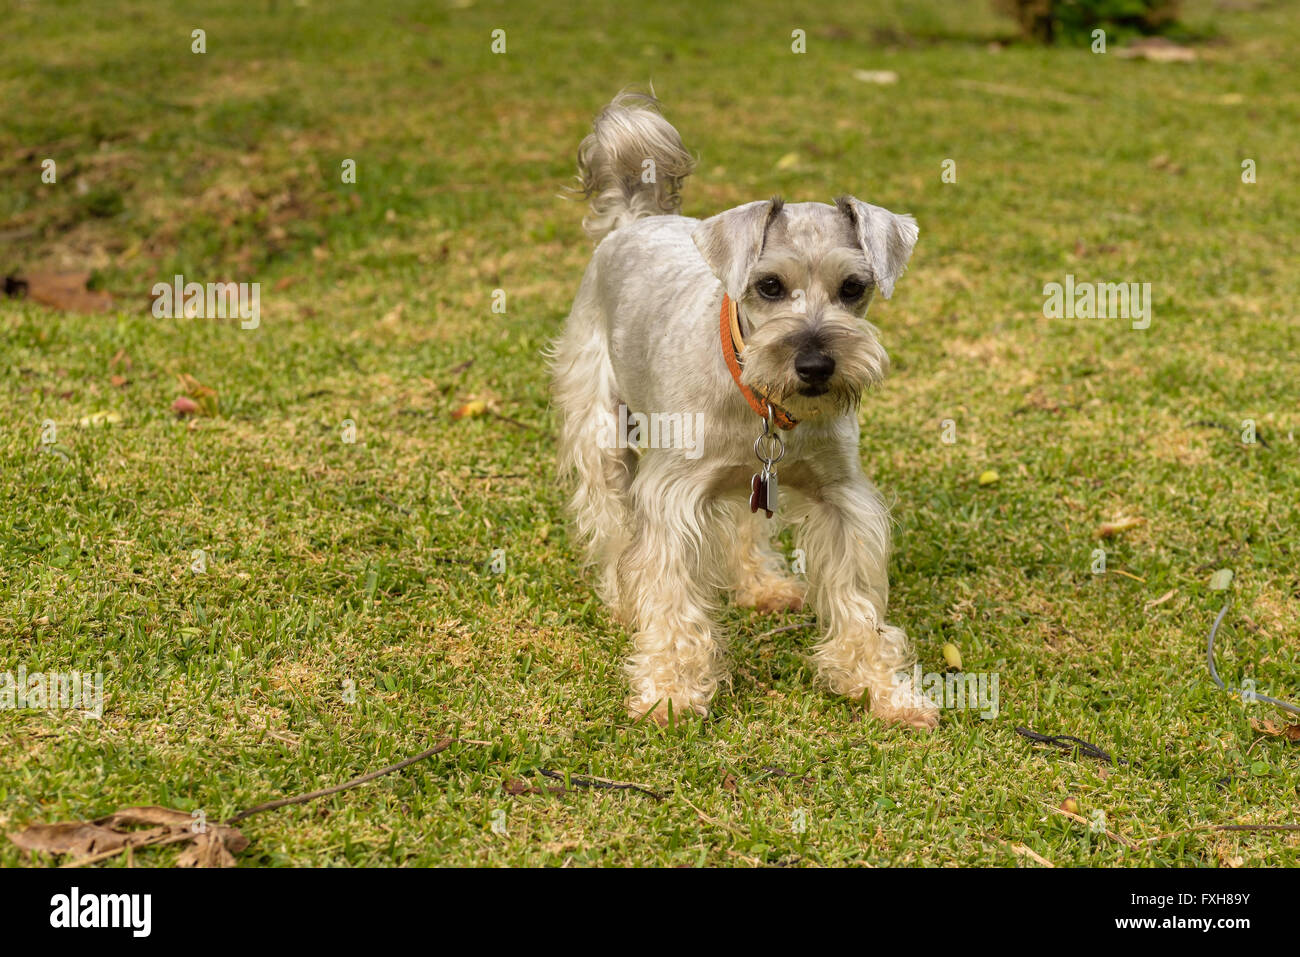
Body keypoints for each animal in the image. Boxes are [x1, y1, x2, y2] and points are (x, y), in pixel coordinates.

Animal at [548, 93, 935, 728]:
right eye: (769, 285)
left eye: (854, 287)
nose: (815, 364)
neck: (762, 400)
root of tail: (636, 218)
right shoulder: (672, 495)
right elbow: (673, 599)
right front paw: (672, 690)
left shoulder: (840, 497)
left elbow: (856, 600)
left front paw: (882, 687)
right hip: (602, 433)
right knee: (609, 521)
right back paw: (625, 598)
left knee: (741, 526)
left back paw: (761, 586)